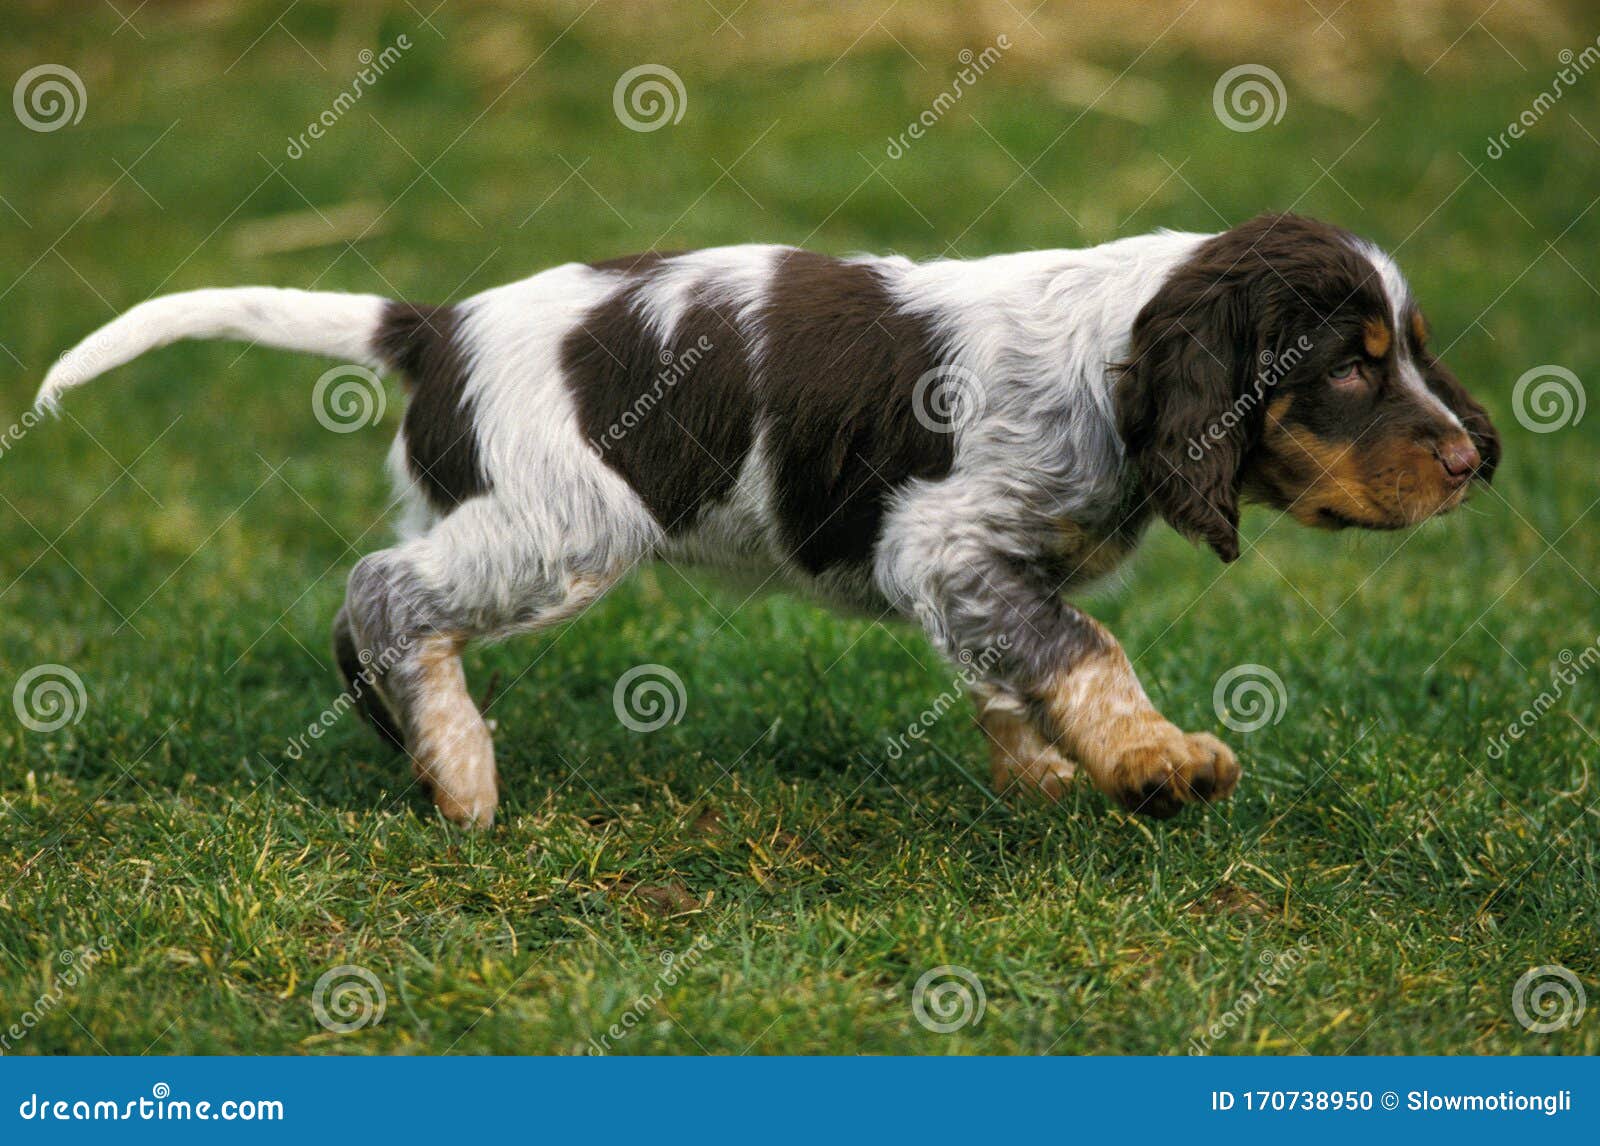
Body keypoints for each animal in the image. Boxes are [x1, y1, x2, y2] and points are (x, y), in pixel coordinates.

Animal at [37, 212, 1497, 825]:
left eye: (1412, 347)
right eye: (1351, 366)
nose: (1473, 459)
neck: (1109, 359)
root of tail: (436, 325)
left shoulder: (977, 570)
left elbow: (1014, 666)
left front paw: (1045, 771)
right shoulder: (943, 543)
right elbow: (1083, 647)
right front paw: (1152, 761)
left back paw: (415, 749)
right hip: (568, 532)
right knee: (379, 591)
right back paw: (456, 770)